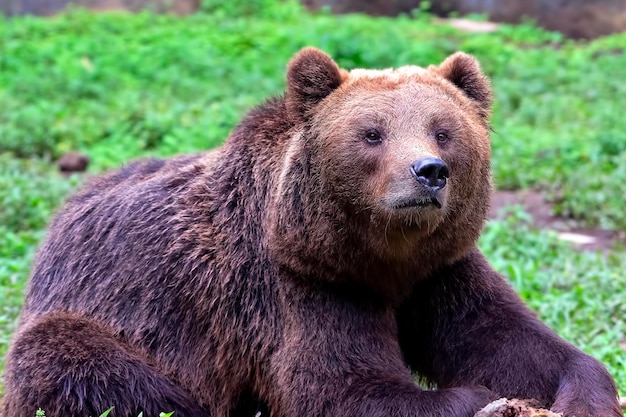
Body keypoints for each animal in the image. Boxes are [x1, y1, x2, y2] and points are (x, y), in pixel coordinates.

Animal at [0, 47, 620, 416]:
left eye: (444, 131)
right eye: (372, 134)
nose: (428, 172)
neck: (382, 255)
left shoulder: (438, 270)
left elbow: (505, 339)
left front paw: (583, 395)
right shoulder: (295, 283)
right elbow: (342, 387)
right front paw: (478, 398)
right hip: (97, 314)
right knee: (77, 363)